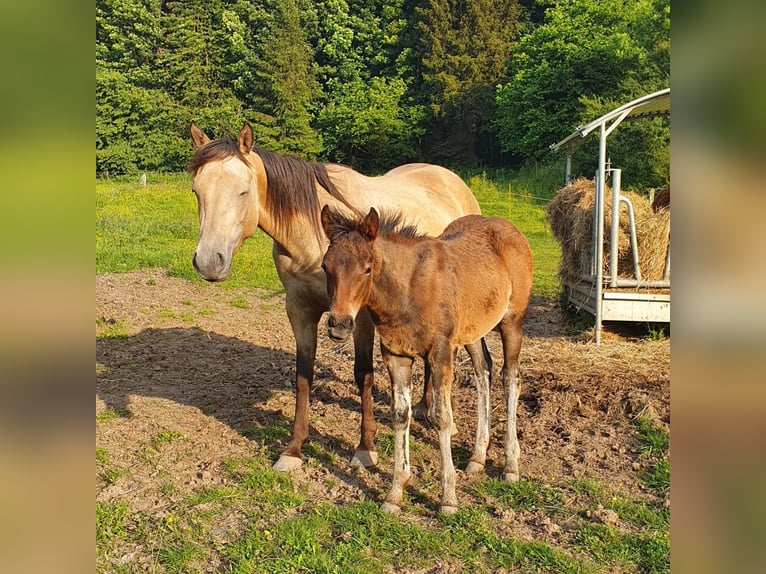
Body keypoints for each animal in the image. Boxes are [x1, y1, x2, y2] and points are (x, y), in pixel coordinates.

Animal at [187, 121, 480, 472]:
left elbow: (363, 374)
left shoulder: (360, 317)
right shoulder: (299, 311)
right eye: (196, 191)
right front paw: (294, 448)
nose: (208, 262)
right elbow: (303, 376)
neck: (314, 236)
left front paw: (365, 448)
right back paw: (424, 405)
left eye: (243, 191)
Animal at [320, 208, 536, 516]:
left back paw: (510, 465)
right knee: (484, 370)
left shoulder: (441, 352)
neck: (407, 293)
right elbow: (400, 414)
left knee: (511, 379)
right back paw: (477, 457)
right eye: (325, 266)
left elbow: (443, 417)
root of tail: (509, 228)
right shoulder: (395, 355)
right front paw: (395, 492)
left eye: (367, 268)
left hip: (512, 323)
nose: (339, 325)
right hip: (472, 329)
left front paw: (448, 498)